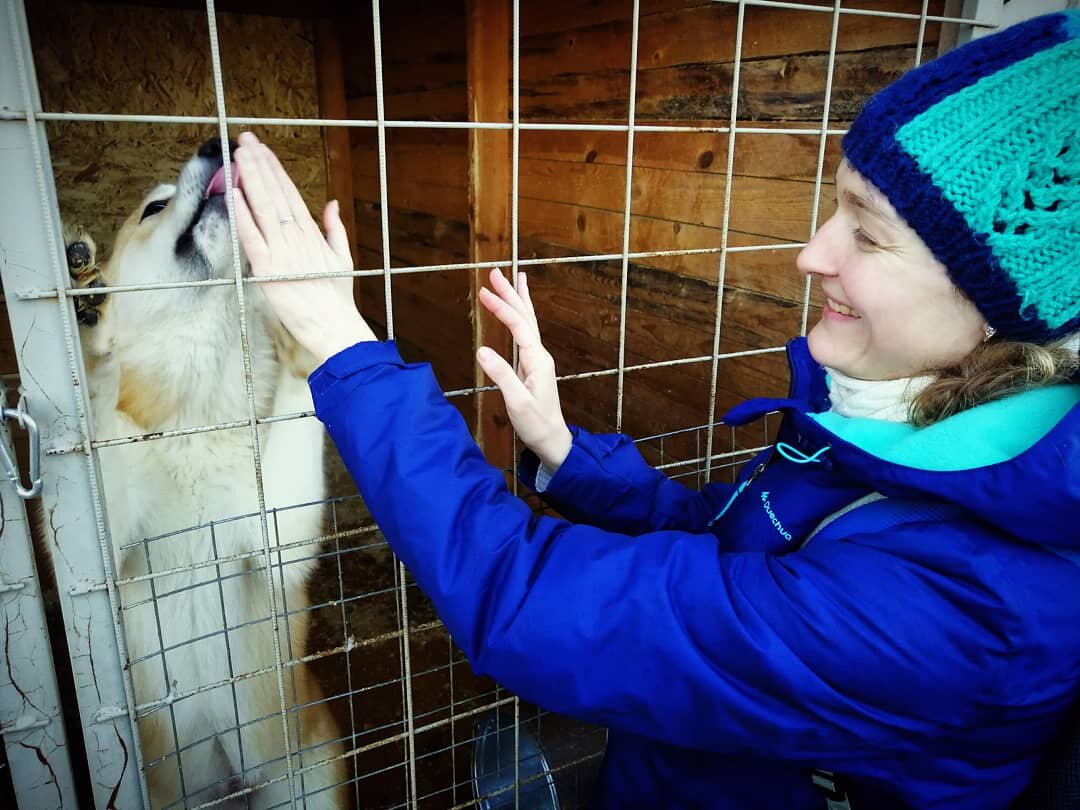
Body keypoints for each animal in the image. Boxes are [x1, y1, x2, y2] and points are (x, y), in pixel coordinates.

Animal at [68, 139, 345, 810]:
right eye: (154, 207)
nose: (214, 145)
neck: (194, 416)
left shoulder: (276, 541)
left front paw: (302, 329)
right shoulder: (101, 548)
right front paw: (88, 331)